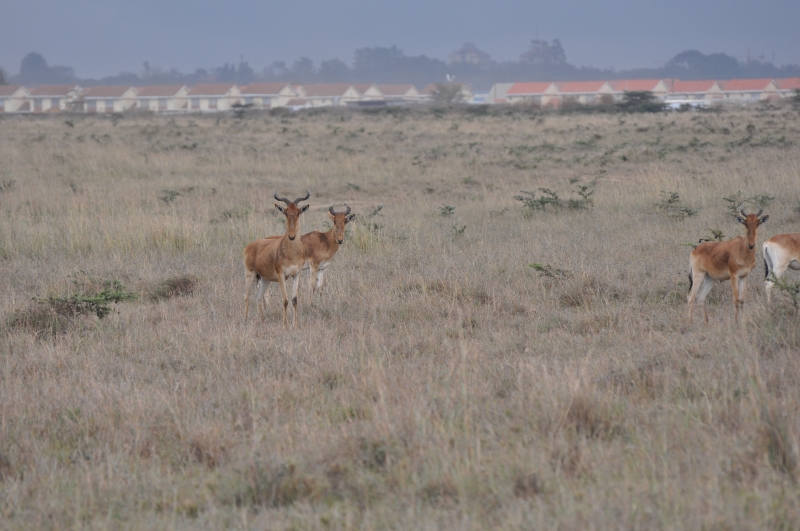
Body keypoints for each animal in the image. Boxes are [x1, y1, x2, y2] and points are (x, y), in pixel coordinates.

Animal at [243, 190, 310, 327]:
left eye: (298, 212)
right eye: (285, 212)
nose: (291, 236)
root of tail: (250, 246)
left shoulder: (297, 274)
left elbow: (294, 299)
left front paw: (295, 324)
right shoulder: (281, 275)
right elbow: (285, 300)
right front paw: (285, 324)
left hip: (265, 279)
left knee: (258, 297)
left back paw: (263, 320)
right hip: (250, 274)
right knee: (246, 296)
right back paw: (246, 320)